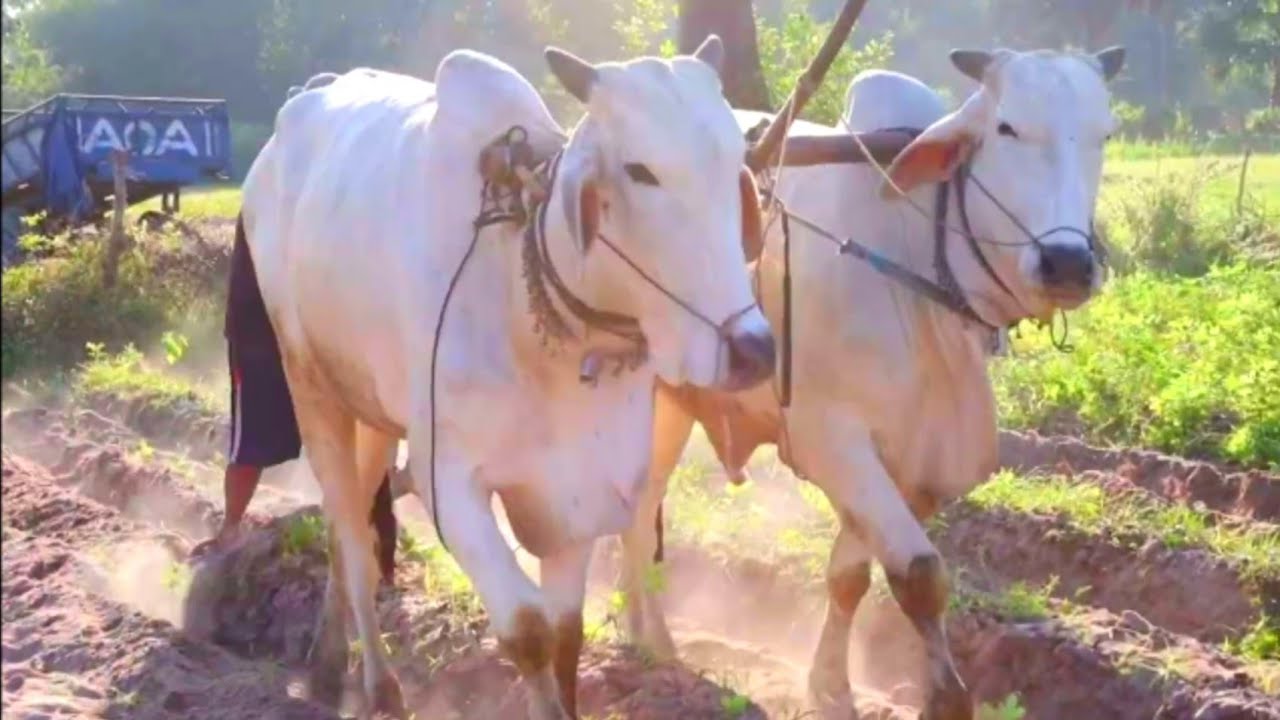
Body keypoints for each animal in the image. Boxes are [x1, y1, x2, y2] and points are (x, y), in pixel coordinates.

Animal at [238, 38, 782, 720]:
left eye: (735, 163)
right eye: (641, 170)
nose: (753, 349)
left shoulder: (585, 494)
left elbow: (567, 635)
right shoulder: (451, 486)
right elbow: (528, 630)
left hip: (372, 409)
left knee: (350, 528)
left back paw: (328, 663)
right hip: (311, 388)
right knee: (350, 538)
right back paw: (378, 685)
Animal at [615, 46, 1127, 720]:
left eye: (1104, 135)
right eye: (1007, 128)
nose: (1067, 263)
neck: (914, 255)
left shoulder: (912, 464)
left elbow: (850, 576)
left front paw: (831, 685)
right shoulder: (833, 441)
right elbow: (919, 574)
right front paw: (944, 698)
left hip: (674, 404)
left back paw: (650, 637)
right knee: (630, 511)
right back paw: (643, 643)